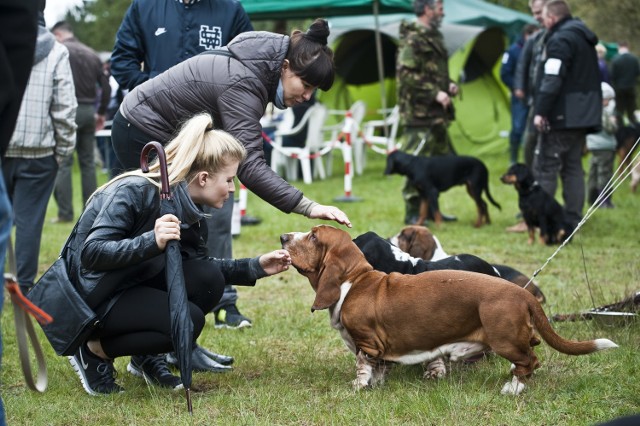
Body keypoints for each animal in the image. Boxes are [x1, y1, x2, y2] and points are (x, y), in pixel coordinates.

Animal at [280, 226, 616, 396]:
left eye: (313, 236)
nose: (283, 236)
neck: (355, 280)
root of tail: (520, 292)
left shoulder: (367, 342)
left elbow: (364, 367)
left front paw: (358, 388)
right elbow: (380, 368)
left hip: (503, 338)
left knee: (529, 361)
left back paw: (512, 388)